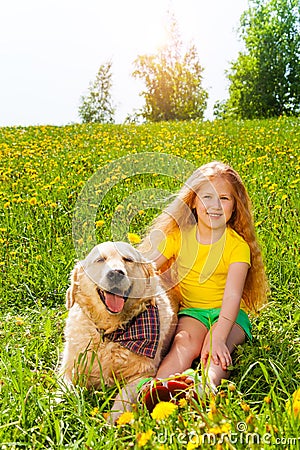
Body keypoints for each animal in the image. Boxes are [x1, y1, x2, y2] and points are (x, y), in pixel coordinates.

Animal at [59, 241, 177, 420]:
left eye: (128, 259)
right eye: (100, 260)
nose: (115, 274)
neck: (111, 333)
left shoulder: (143, 374)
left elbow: (122, 399)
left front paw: (113, 421)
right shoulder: (70, 367)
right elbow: (63, 391)